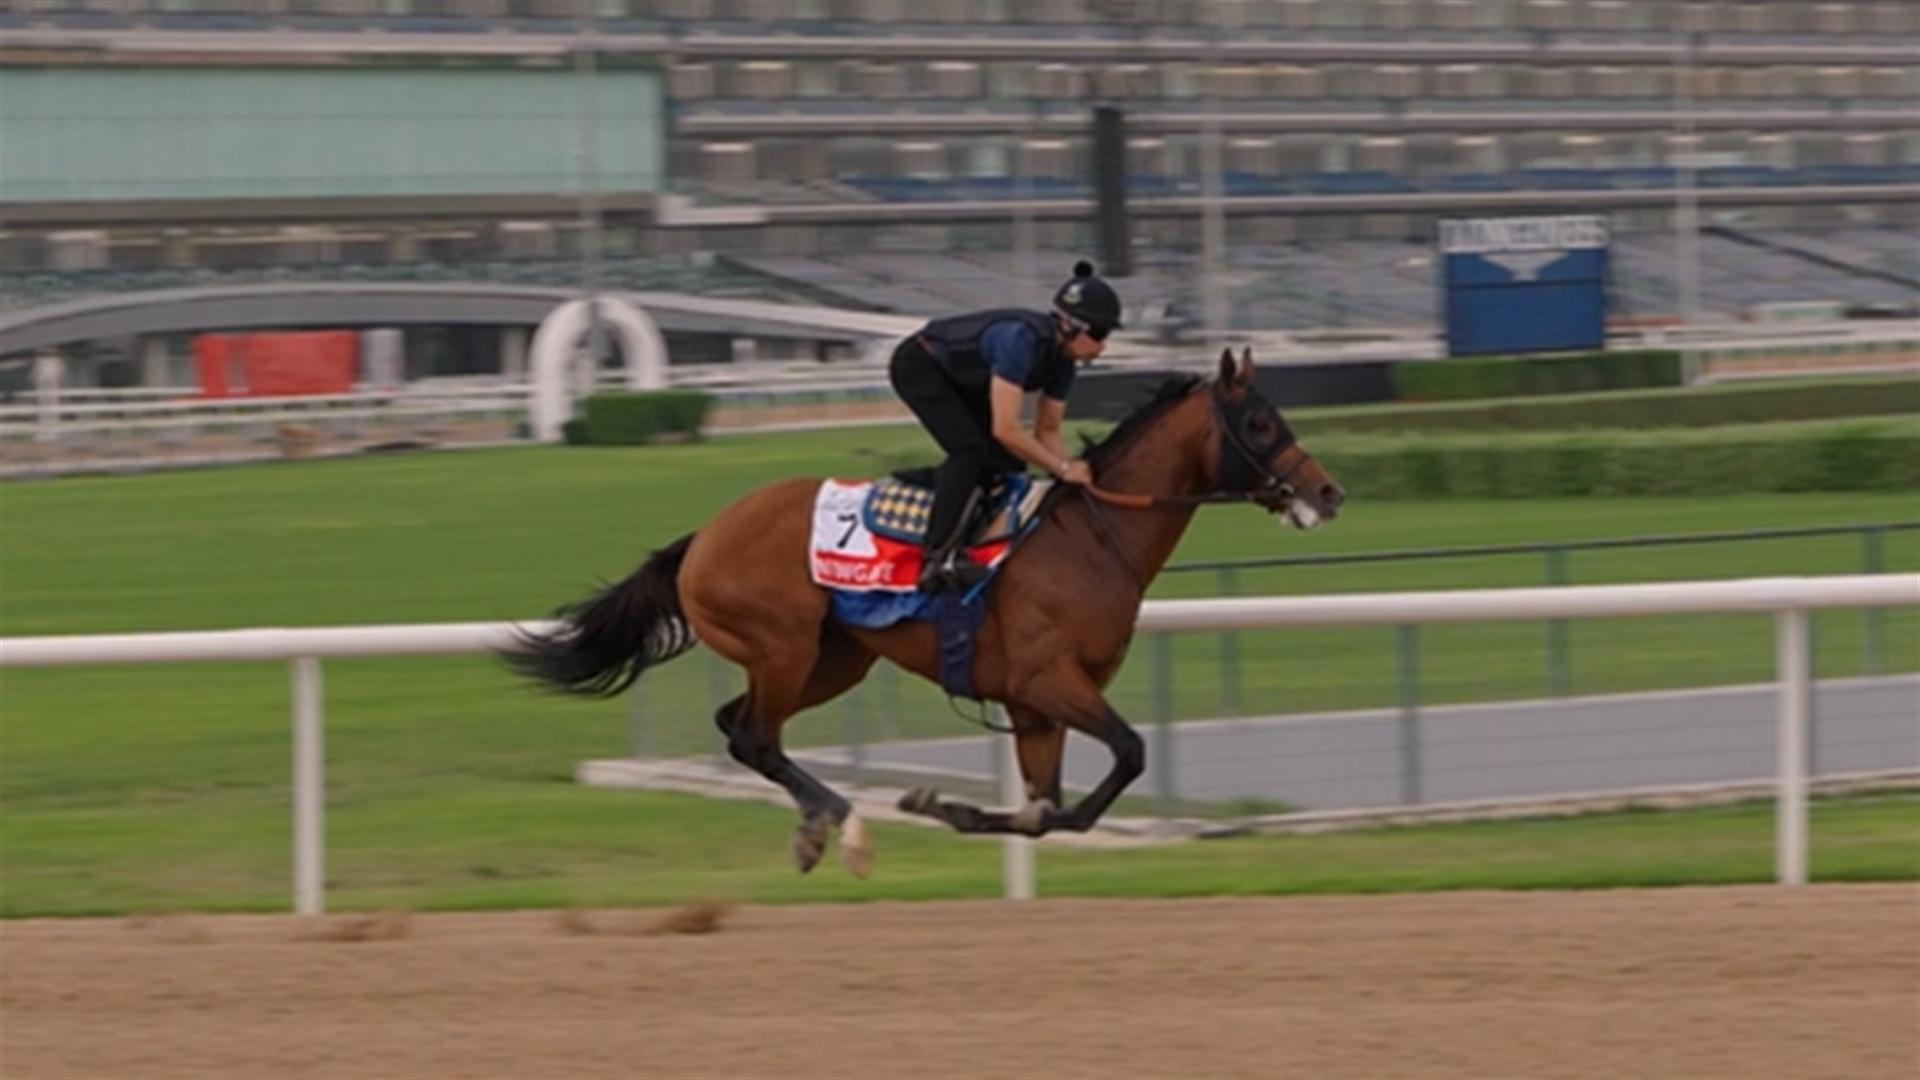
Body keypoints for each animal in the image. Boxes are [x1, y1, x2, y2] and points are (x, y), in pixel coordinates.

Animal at [510, 349, 1351, 868]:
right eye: (1261, 423)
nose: (1328, 491)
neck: (1091, 538)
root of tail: (702, 538)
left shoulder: (1036, 707)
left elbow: (1051, 807)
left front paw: (956, 809)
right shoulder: (1048, 681)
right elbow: (1128, 755)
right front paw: (939, 804)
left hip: (832, 660)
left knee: (741, 728)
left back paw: (816, 824)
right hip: (783, 647)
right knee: (754, 736)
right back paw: (841, 824)